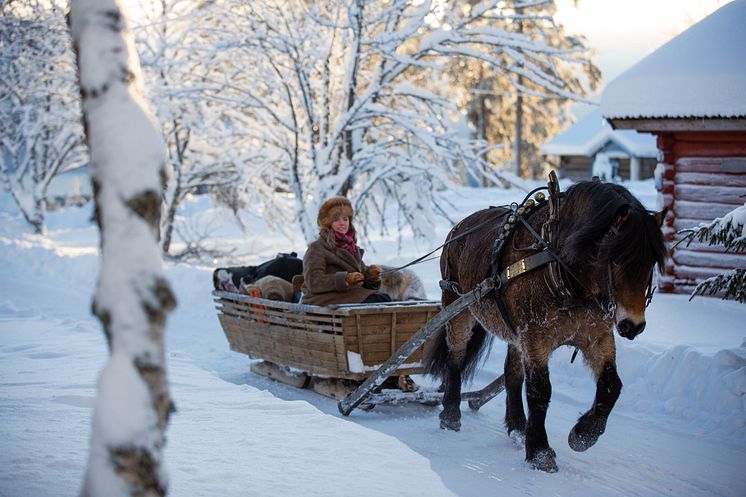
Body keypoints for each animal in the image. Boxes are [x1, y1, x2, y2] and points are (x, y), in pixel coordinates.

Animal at [428, 176, 664, 470]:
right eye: (618, 257)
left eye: (652, 261)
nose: (633, 325)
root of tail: (458, 228)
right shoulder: (535, 337)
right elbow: (540, 391)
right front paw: (540, 451)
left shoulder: (596, 336)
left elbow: (612, 385)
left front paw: (584, 434)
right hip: (457, 306)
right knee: (456, 358)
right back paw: (450, 414)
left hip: (513, 329)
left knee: (512, 374)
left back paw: (518, 427)